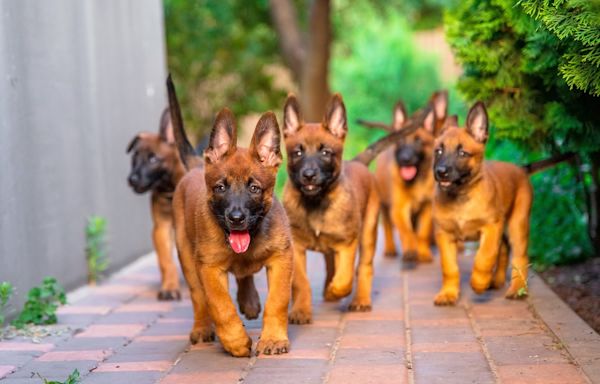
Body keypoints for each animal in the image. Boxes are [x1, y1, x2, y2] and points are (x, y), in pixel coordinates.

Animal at [128, 108, 188, 300]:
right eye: (134, 158)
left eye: (153, 159)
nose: (131, 179)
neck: (170, 190)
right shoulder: (161, 228)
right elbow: (165, 261)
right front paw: (169, 287)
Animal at [169, 78, 292, 356]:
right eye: (221, 187)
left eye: (254, 188)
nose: (236, 218)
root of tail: (196, 165)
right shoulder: (209, 268)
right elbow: (220, 306)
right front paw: (235, 341)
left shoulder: (281, 259)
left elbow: (277, 301)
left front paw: (273, 339)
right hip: (187, 259)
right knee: (199, 298)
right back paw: (202, 328)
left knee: (244, 274)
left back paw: (249, 301)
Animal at [282, 94, 380, 324]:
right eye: (297, 152)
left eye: (326, 152)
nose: (309, 175)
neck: (316, 202)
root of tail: (358, 162)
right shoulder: (297, 248)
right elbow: (301, 282)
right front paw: (301, 310)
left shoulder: (347, 244)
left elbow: (345, 278)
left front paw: (336, 291)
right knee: (330, 265)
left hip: (368, 234)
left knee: (364, 268)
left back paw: (360, 299)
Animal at [372, 92, 448, 264]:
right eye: (400, 141)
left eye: (418, 140)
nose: (405, 159)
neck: (417, 180)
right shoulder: (399, 208)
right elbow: (407, 233)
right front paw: (411, 252)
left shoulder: (427, 208)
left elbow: (421, 233)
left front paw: (423, 253)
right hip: (384, 205)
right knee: (388, 226)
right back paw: (391, 249)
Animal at [432, 103, 536, 306]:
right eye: (438, 151)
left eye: (462, 153)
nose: (441, 172)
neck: (461, 197)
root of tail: (521, 169)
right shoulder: (444, 234)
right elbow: (449, 267)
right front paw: (448, 293)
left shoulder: (491, 226)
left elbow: (484, 257)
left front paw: (479, 283)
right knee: (503, 251)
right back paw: (496, 281)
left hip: (517, 225)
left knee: (519, 256)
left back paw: (516, 289)